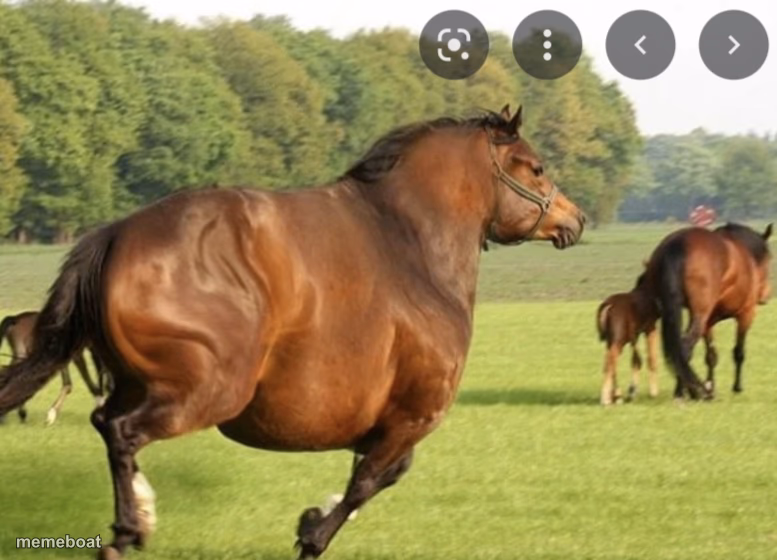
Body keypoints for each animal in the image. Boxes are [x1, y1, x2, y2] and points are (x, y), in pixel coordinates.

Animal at [0, 104, 585, 560]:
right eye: (535, 168)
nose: (575, 220)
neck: (411, 245)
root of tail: (116, 234)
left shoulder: (395, 420)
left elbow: (378, 474)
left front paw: (314, 518)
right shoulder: (412, 414)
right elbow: (372, 480)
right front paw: (312, 531)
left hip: (143, 383)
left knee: (107, 423)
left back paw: (139, 516)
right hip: (206, 392)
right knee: (123, 432)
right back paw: (127, 530)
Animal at [596, 272, 660, 405]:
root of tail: (608, 305)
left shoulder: (635, 336)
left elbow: (635, 361)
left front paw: (632, 392)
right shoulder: (650, 328)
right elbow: (651, 358)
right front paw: (653, 392)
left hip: (612, 341)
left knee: (609, 361)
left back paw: (615, 396)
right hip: (618, 341)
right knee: (610, 362)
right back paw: (608, 398)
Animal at [642, 223, 772, 399]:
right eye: (769, 259)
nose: (766, 295)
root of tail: (678, 244)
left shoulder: (709, 322)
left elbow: (711, 356)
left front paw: (712, 387)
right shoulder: (745, 315)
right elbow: (739, 352)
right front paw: (737, 387)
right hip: (700, 315)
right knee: (684, 347)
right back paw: (687, 391)